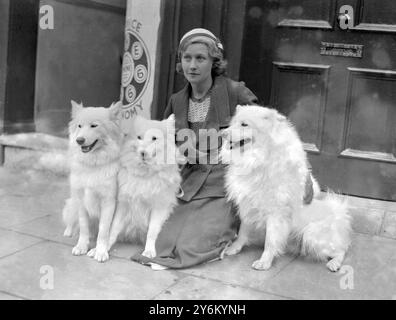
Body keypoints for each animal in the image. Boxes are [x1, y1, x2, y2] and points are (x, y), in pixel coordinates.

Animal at [62, 100, 122, 262]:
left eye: (94, 126)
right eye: (79, 126)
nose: (79, 140)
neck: (92, 165)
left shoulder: (108, 202)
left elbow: (103, 231)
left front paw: (100, 252)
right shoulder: (80, 200)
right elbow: (83, 227)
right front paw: (81, 246)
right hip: (71, 203)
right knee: (71, 221)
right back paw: (68, 232)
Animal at [107, 115, 183, 258]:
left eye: (154, 138)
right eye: (139, 137)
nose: (142, 153)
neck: (144, 175)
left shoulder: (158, 208)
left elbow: (152, 232)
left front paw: (149, 251)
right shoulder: (123, 205)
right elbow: (113, 229)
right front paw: (102, 248)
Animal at [221, 106, 352, 272]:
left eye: (244, 124)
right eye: (232, 123)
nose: (222, 134)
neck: (257, 158)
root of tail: (340, 214)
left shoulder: (275, 213)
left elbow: (270, 241)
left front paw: (264, 262)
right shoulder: (248, 206)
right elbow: (243, 232)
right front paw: (235, 248)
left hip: (312, 234)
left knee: (342, 250)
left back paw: (334, 264)